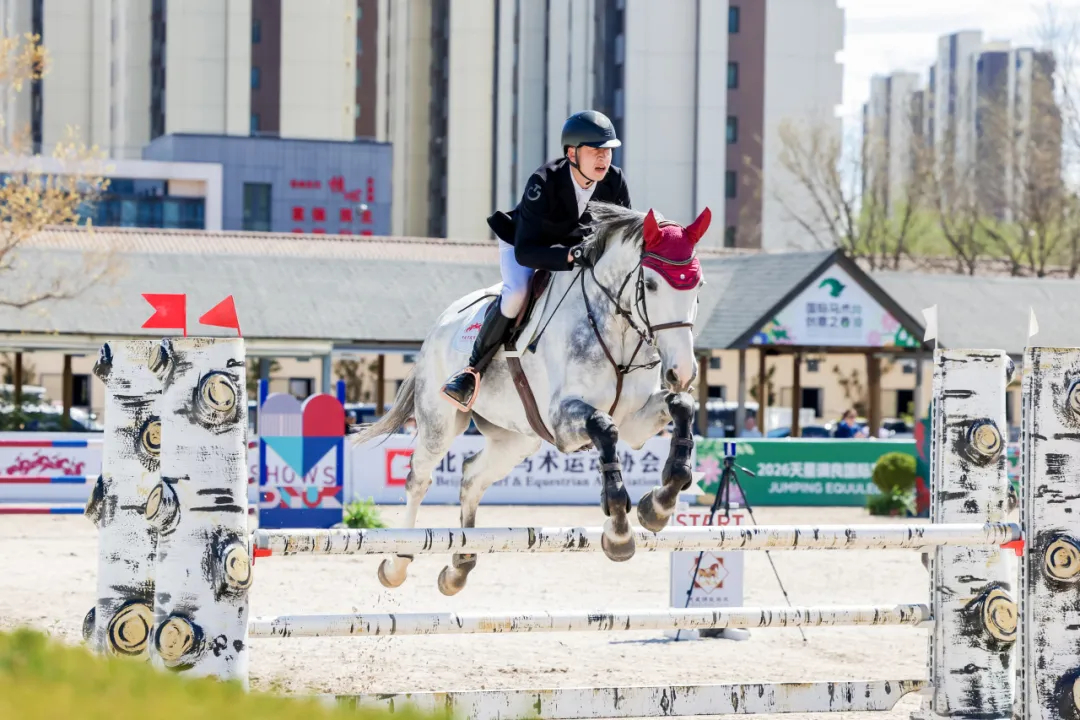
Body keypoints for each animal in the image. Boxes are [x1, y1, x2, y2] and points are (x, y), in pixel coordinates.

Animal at [349, 201, 711, 595]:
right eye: (652, 284)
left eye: (698, 286)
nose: (682, 373)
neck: (616, 331)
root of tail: (442, 323)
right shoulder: (564, 422)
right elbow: (603, 427)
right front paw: (619, 533)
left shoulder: (635, 424)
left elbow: (681, 407)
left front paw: (658, 506)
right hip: (439, 421)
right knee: (419, 478)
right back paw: (398, 563)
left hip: (517, 439)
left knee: (472, 476)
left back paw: (460, 566)